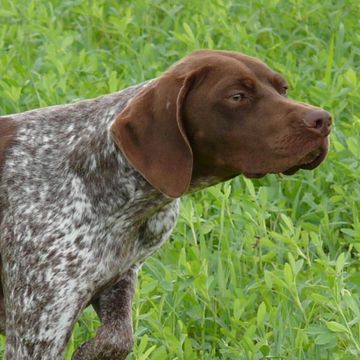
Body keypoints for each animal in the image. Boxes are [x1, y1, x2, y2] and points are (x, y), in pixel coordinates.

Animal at [0, 50, 332, 358]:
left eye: (283, 89)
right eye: (237, 96)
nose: (323, 120)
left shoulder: (120, 277)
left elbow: (119, 338)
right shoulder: (37, 329)